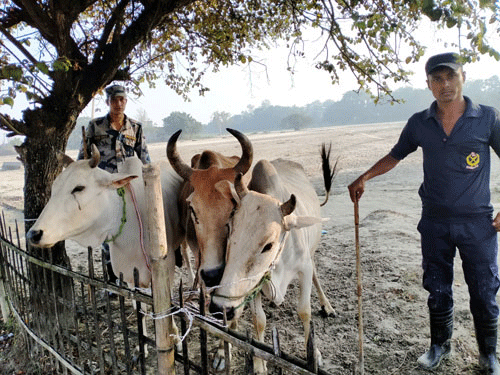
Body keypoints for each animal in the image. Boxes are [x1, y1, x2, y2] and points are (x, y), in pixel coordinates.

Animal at [211, 155, 336, 374]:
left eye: (268, 245)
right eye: (229, 228)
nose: (219, 306)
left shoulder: (304, 268)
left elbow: (305, 311)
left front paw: (314, 354)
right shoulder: (254, 283)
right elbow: (259, 321)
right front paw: (259, 364)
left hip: (311, 255)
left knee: (316, 276)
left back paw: (326, 305)